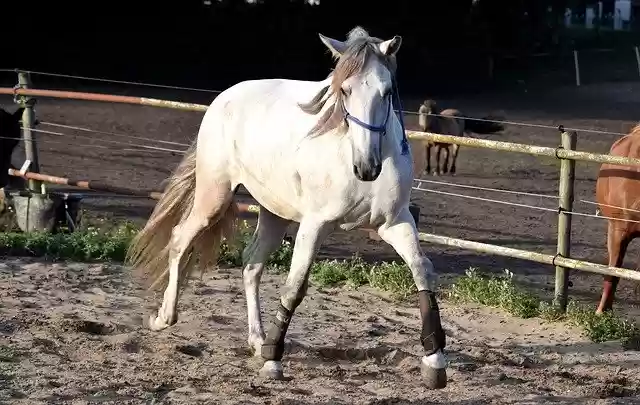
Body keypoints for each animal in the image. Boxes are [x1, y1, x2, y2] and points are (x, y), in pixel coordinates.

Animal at [126, 26, 448, 389]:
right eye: (345, 90)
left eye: (387, 90)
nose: (367, 167)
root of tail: (225, 96)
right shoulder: (315, 225)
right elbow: (295, 287)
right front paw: (273, 361)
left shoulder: (395, 222)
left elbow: (422, 270)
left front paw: (435, 362)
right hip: (214, 196)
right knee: (181, 239)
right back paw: (164, 318)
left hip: (273, 213)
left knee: (251, 264)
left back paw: (257, 340)